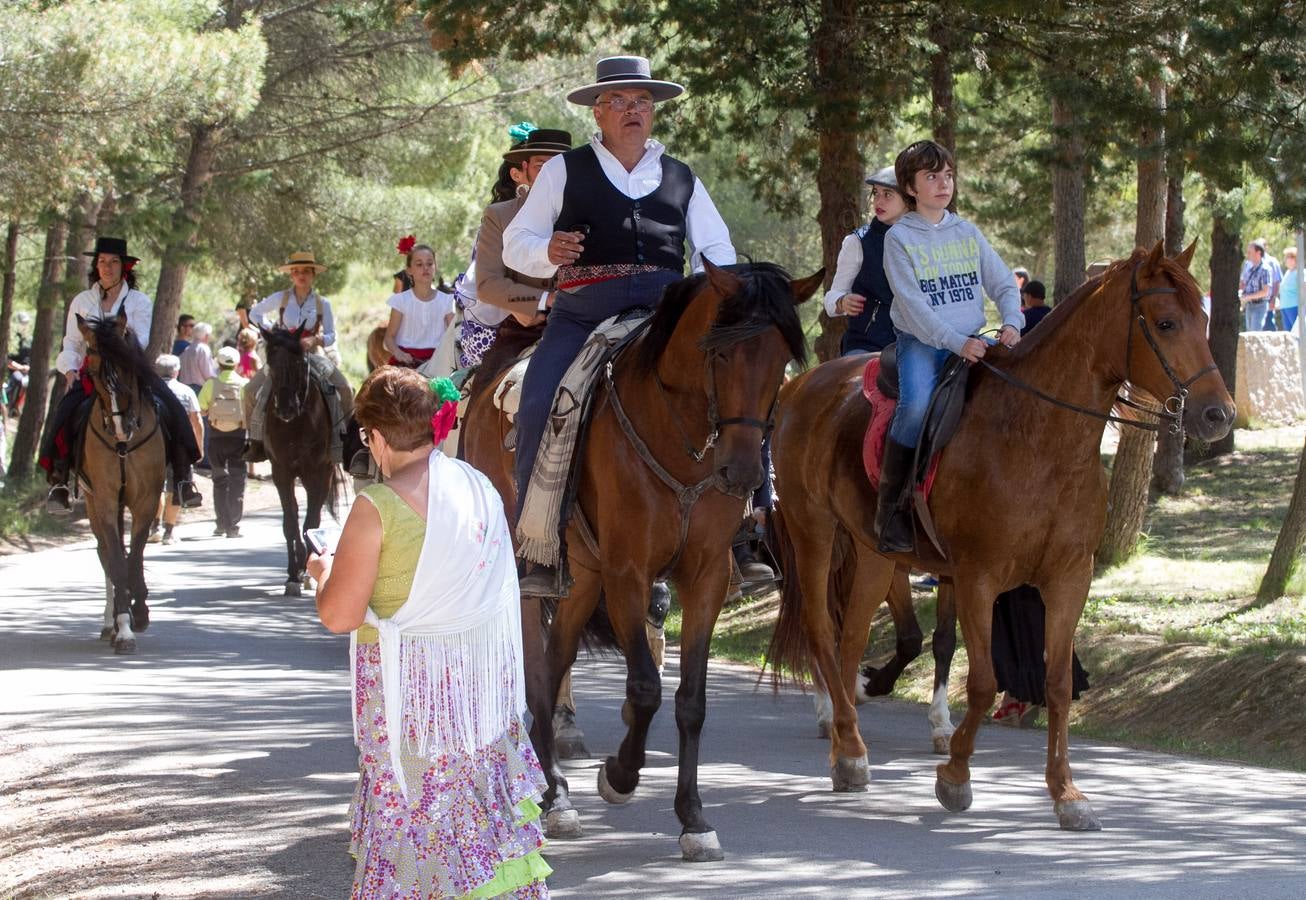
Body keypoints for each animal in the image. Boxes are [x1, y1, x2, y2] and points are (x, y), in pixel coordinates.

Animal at [75, 310, 165, 653]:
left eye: (128, 366)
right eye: (93, 371)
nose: (120, 428)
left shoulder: (146, 501)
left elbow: (134, 556)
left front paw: (139, 613)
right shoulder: (104, 499)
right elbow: (115, 560)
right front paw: (123, 627)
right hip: (93, 504)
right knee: (104, 555)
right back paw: (109, 623)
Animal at [257, 325, 342, 595]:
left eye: (298, 362)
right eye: (271, 362)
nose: (286, 408)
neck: (295, 426)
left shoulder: (319, 472)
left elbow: (310, 522)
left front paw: (308, 571)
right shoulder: (281, 472)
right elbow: (290, 522)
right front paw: (293, 575)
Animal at [464, 258, 820, 856]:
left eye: (780, 360)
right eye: (720, 353)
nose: (743, 472)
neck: (683, 443)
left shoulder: (705, 579)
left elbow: (691, 700)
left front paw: (693, 818)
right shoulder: (628, 574)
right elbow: (647, 687)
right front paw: (620, 775)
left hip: (583, 575)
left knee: (556, 662)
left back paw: (555, 783)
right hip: (531, 573)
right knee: (536, 668)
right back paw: (554, 795)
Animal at [767, 244, 1227, 830]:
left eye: (1203, 319)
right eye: (1166, 323)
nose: (1219, 414)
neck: (1038, 438)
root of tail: (800, 386)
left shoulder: (1068, 579)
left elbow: (1057, 684)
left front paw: (1067, 793)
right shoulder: (976, 578)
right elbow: (983, 682)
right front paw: (955, 776)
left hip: (874, 555)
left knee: (849, 640)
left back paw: (849, 745)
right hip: (814, 534)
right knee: (823, 631)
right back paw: (844, 742)